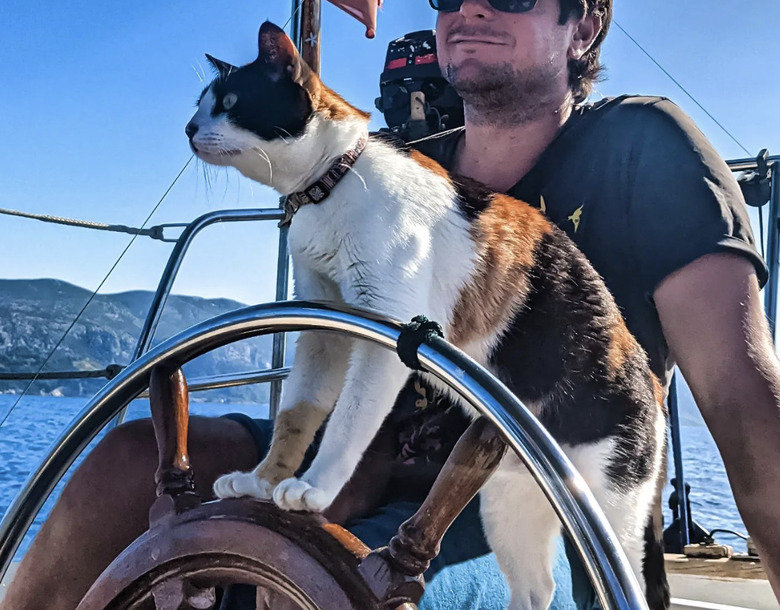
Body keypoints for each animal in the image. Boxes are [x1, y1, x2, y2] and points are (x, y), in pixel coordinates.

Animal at [186, 21, 668, 608]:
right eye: (200, 103)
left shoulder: (387, 322)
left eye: (231, 102)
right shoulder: (324, 323)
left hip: (611, 506)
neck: (333, 181)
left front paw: (316, 487)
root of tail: (650, 382)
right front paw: (261, 481)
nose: (188, 127)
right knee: (537, 588)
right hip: (508, 501)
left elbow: (349, 418)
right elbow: (297, 412)